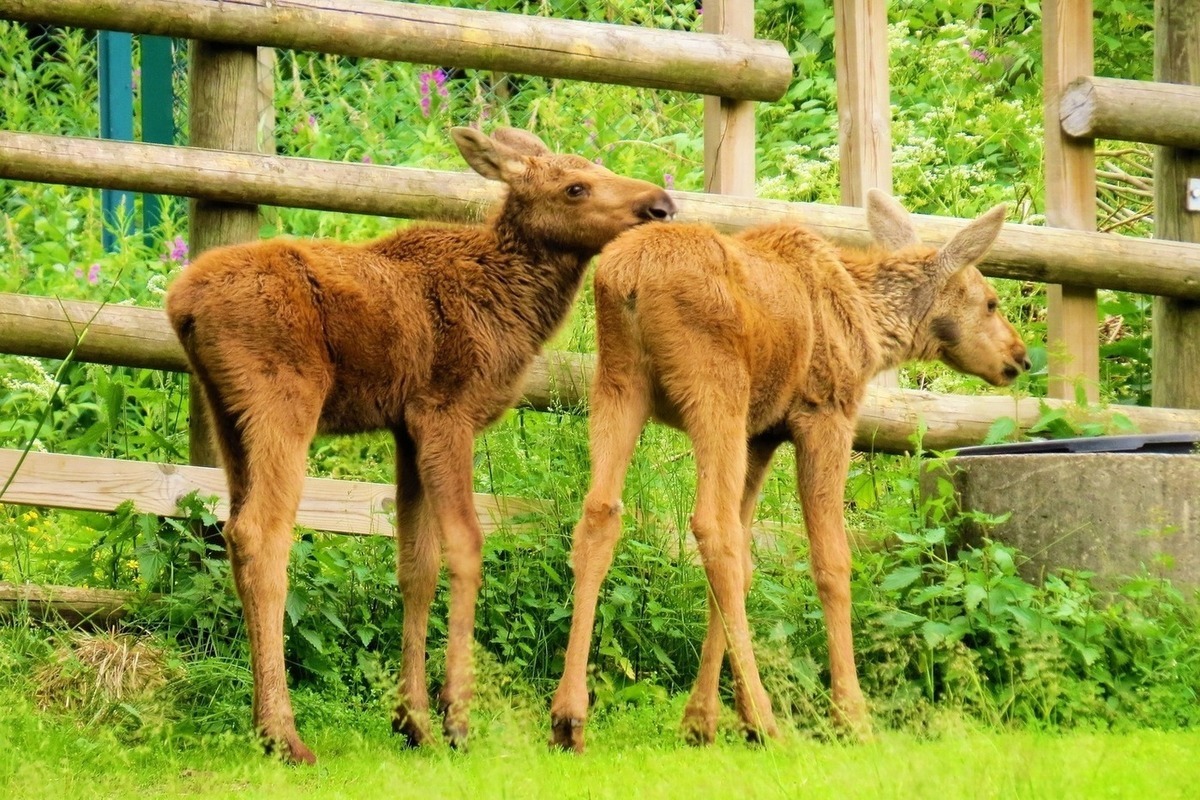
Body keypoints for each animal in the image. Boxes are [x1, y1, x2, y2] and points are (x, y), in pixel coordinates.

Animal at [165, 126, 681, 762]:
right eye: (575, 187)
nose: (661, 205)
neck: (513, 308)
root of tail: (181, 304)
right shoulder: (444, 414)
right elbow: (466, 547)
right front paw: (456, 715)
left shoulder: (405, 429)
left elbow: (416, 565)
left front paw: (412, 721)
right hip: (283, 402)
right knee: (262, 534)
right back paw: (285, 735)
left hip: (226, 414)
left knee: (235, 529)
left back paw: (266, 726)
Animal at [552, 188, 1032, 753]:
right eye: (990, 302)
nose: (1020, 356)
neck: (873, 327)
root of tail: (625, 278)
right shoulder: (824, 414)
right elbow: (831, 563)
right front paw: (850, 715)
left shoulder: (760, 435)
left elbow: (746, 567)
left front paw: (703, 719)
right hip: (716, 387)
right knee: (711, 527)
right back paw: (768, 719)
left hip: (617, 383)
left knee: (602, 515)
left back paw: (569, 716)